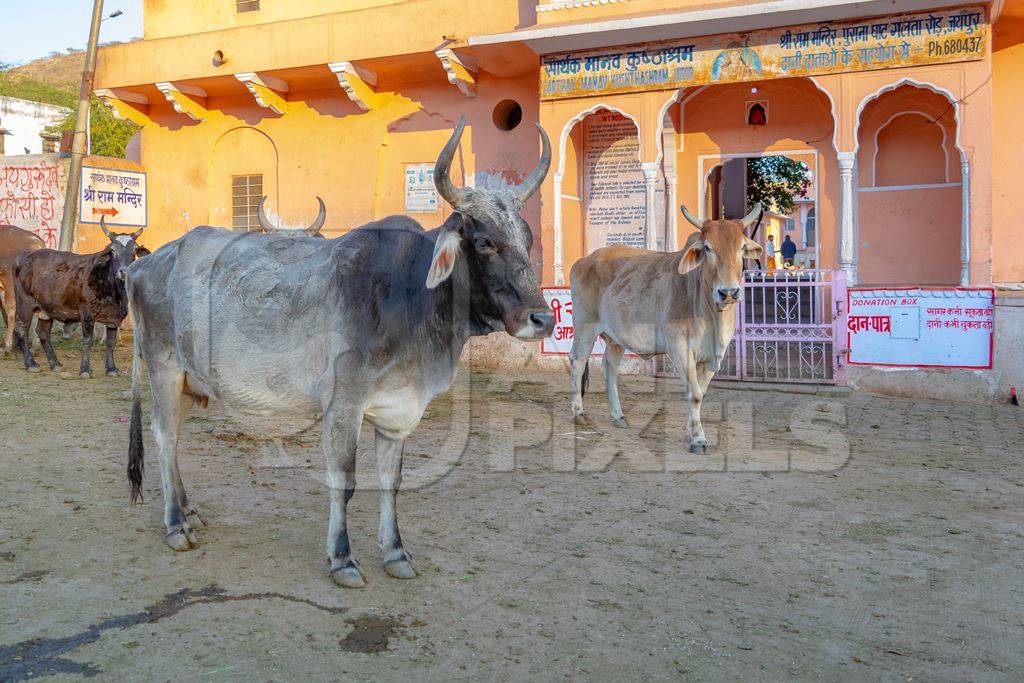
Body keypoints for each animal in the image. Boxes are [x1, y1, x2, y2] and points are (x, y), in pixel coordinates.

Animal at [14, 219, 148, 376]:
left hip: (46, 309)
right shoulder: (87, 315)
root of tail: (26, 255)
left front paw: (111, 368)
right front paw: (85, 369)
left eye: (135, 250)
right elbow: (88, 340)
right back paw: (31, 363)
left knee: (43, 332)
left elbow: (111, 342)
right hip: (24, 304)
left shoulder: (114, 319)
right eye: (113, 250)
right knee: (22, 330)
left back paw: (55, 363)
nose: (124, 272)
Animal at [123, 118, 557, 589]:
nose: (542, 319)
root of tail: (144, 264)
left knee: (175, 440)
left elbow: (391, 481)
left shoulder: (399, 409)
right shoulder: (344, 404)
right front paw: (343, 558)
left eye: (527, 238)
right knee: (164, 437)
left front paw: (395, 552)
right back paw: (175, 525)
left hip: (188, 383)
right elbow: (344, 481)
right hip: (163, 367)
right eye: (483, 242)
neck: (409, 294)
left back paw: (189, 511)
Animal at [569, 205, 761, 456]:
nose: (728, 292)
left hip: (615, 338)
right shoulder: (681, 349)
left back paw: (619, 416)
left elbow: (701, 392)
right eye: (708, 248)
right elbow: (694, 394)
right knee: (578, 361)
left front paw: (690, 432)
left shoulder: (712, 357)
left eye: (741, 247)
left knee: (609, 368)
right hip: (585, 326)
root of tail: (584, 260)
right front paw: (698, 439)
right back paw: (578, 413)